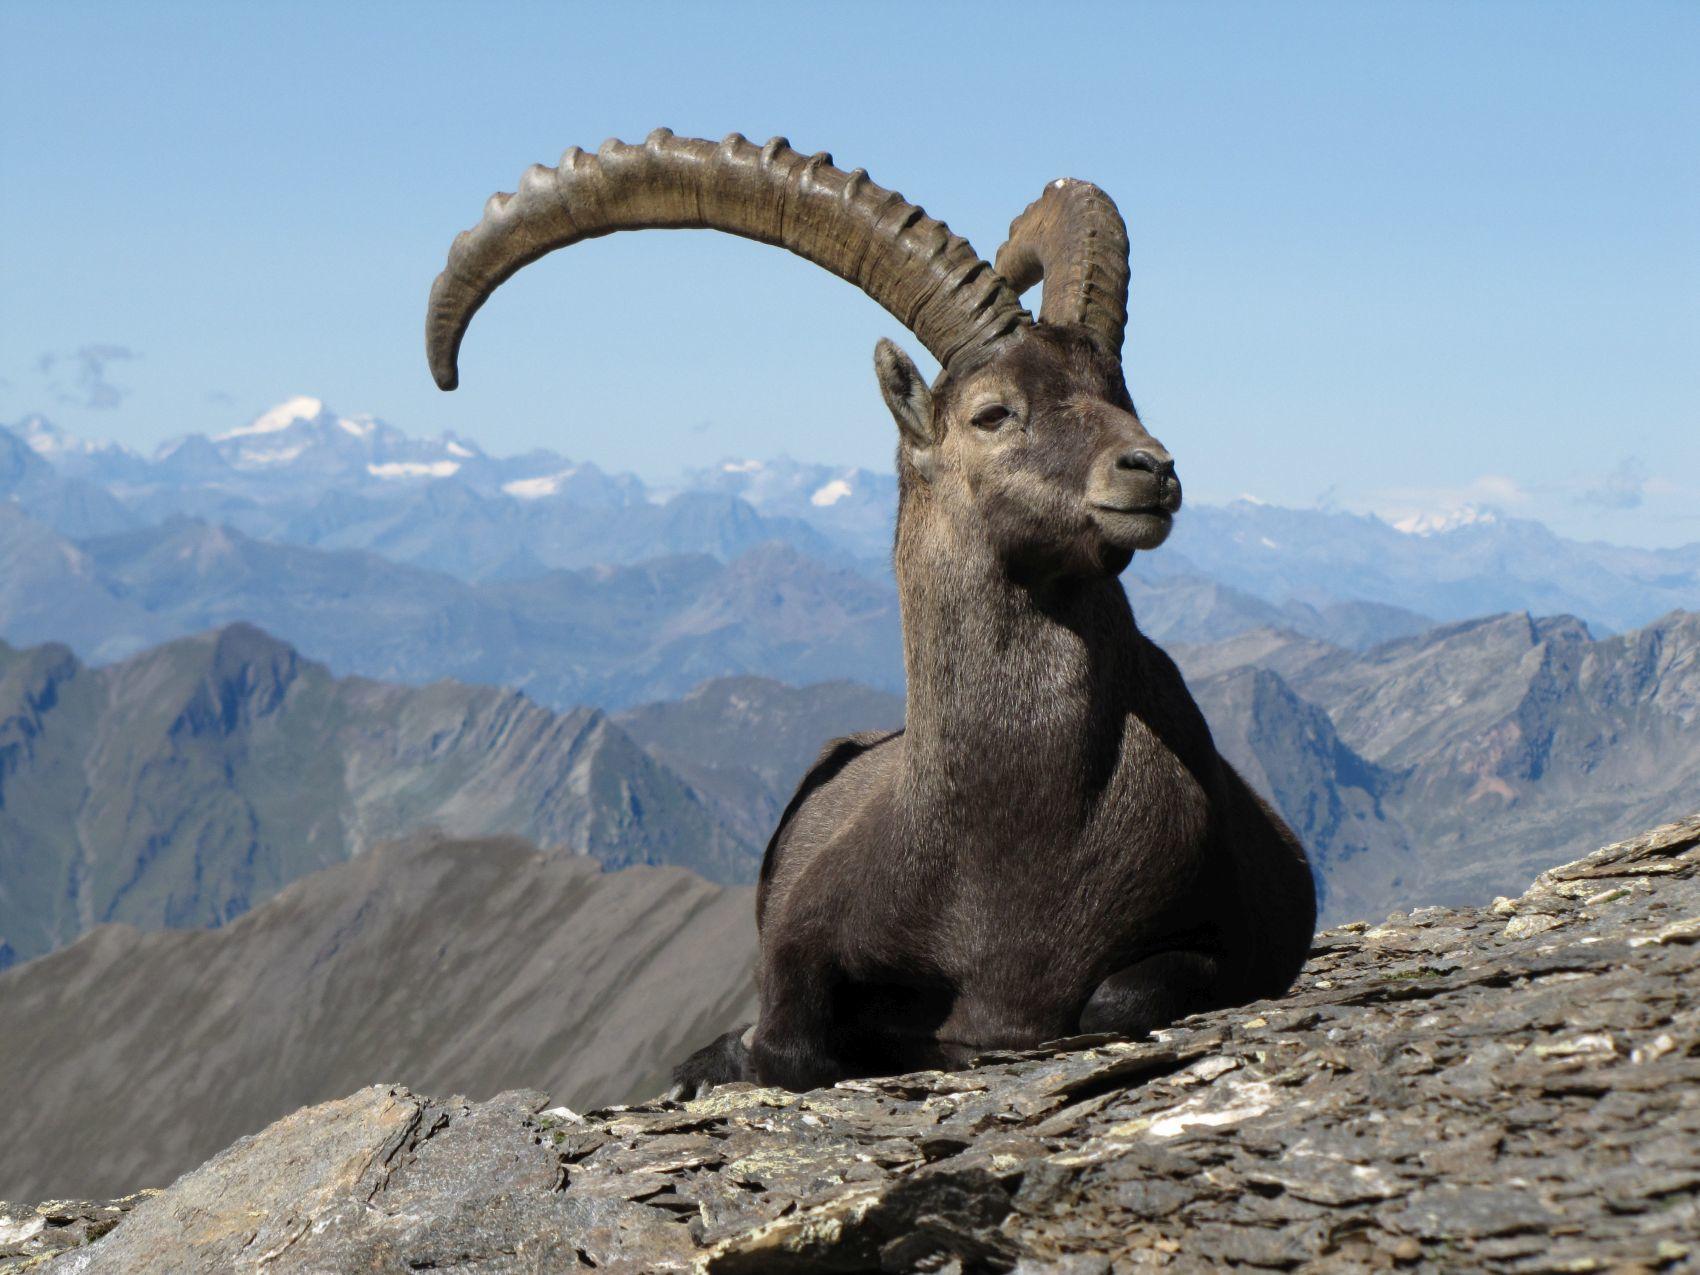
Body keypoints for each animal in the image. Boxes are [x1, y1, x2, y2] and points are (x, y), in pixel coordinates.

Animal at [425, 131, 1317, 1094]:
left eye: (1123, 394)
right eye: (992, 412)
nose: (1151, 469)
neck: (1014, 834)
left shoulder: (1213, 929)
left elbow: (1115, 997)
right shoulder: (800, 939)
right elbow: (785, 1040)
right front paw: (733, 1051)